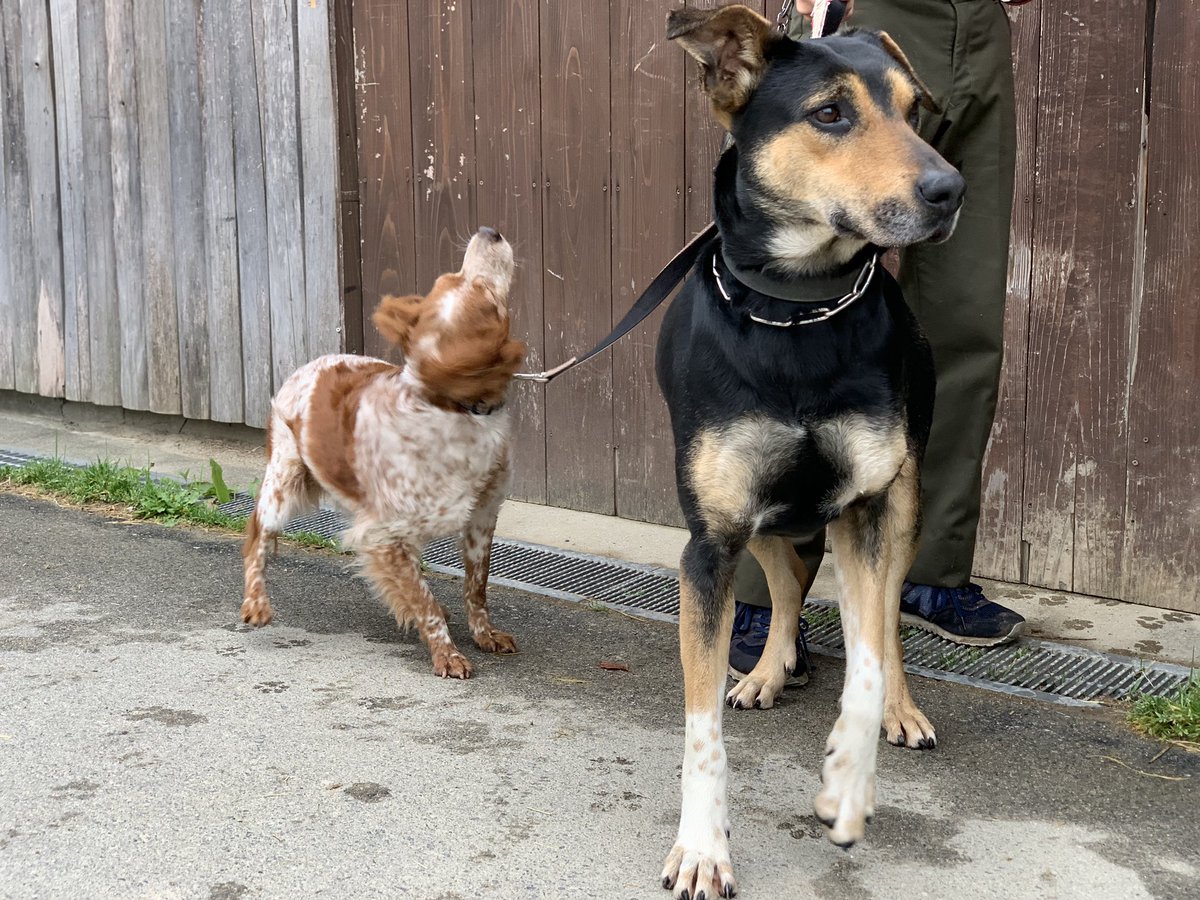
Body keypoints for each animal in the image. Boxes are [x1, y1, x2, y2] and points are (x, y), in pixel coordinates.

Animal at [238, 229, 525, 681]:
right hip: (282, 483)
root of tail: (315, 362)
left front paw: (484, 634)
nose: (489, 232)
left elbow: (476, 586)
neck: (452, 410)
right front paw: (446, 652)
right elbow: (424, 601)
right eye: (481, 292)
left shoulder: (482, 515)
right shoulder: (381, 534)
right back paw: (256, 603)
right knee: (257, 535)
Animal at [657, 7, 964, 900]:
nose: (950, 191)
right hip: (762, 517)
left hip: (905, 500)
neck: (798, 310)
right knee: (790, 586)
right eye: (830, 113)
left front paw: (848, 787)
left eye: (913, 110)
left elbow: (864, 666)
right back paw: (766, 671)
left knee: (885, 624)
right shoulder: (711, 539)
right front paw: (703, 848)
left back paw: (901, 709)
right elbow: (700, 727)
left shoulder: (866, 508)